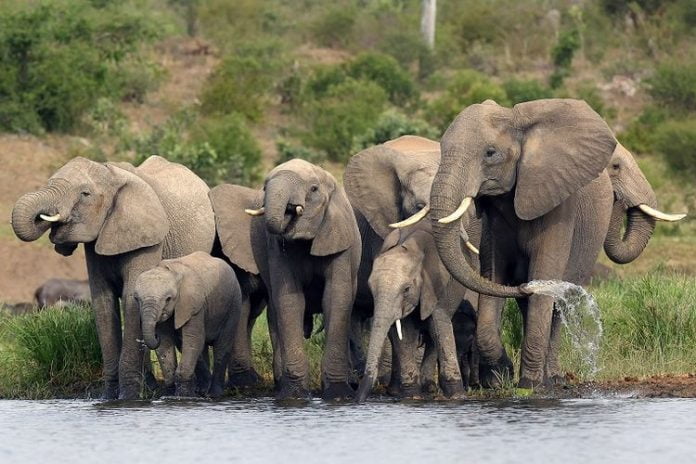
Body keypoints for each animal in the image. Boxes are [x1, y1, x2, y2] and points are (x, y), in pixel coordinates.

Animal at [10, 156, 215, 398]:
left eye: (85, 194)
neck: (111, 174)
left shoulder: (148, 240)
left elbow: (130, 299)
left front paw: (128, 397)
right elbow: (103, 304)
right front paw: (108, 397)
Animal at [134, 252, 242, 396]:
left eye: (168, 299)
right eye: (137, 299)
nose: (155, 336)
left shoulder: (193, 304)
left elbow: (193, 339)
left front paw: (183, 396)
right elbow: (165, 343)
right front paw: (169, 394)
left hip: (233, 304)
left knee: (222, 346)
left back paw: (214, 394)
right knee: (194, 347)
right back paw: (202, 390)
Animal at [209, 159, 362, 398]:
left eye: (313, 189)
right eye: (265, 187)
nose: (289, 210)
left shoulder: (340, 243)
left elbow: (336, 299)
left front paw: (338, 394)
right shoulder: (277, 251)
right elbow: (290, 301)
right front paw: (294, 395)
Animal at [356, 223, 476, 400]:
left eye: (406, 289)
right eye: (371, 288)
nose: (358, 399)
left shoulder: (436, 286)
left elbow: (438, 325)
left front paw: (457, 396)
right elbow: (404, 333)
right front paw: (412, 396)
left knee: (433, 335)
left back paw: (430, 388)